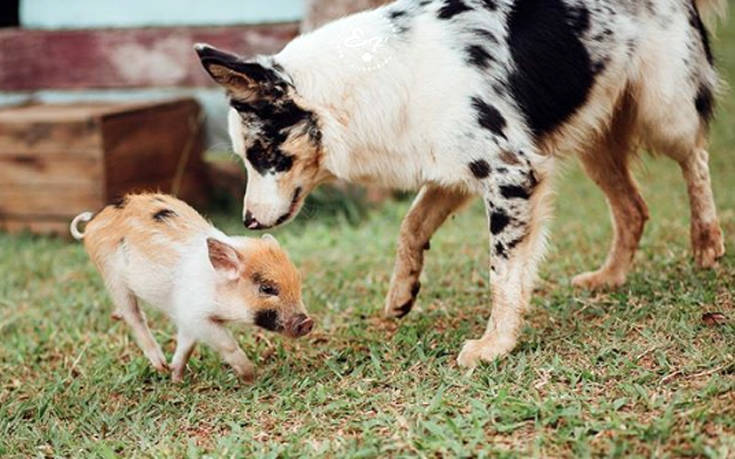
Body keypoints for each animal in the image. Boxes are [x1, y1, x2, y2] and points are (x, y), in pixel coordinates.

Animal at [194, 0, 724, 368]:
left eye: (262, 156)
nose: (248, 221)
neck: (364, 81)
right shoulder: (453, 170)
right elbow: (410, 226)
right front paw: (402, 293)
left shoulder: (512, 172)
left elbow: (503, 272)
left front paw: (495, 345)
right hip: (595, 130)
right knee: (633, 207)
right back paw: (610, 276)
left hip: (663, 109)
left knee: (695, 157)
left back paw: (706, 240)